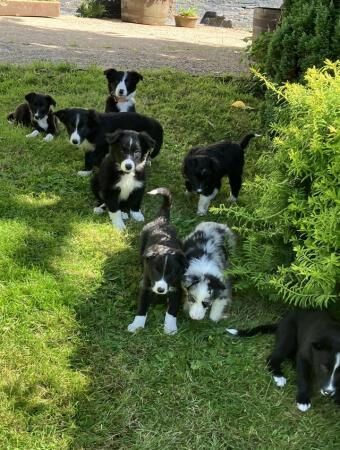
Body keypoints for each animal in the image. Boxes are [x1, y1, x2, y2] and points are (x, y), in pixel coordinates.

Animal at [127, 188, 186, 336]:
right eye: (156, 271)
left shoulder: (176, 288)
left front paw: (170, 328)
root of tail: (162, 219)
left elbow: (172, 310)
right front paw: (136, 325)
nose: (160, 290)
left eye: (171, 273)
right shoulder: (146, 285)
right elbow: (142, 307)